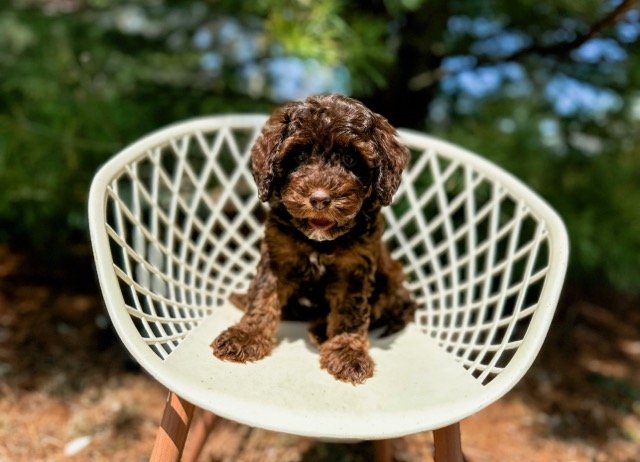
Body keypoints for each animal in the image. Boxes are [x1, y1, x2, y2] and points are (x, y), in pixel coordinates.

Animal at [210, 93, 416, 382]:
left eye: (350, 160)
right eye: (298, 156)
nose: (319, 199)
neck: (319, 242)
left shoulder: (354, 268)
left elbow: (350, 313)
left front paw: (347, 352)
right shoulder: (278, 256)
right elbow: (263, 298)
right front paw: (246, 335)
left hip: (391, 280)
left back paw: (320, 329)